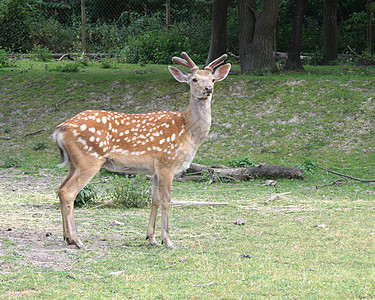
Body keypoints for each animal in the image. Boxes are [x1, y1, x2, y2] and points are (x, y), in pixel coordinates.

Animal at [51, 52, 231, 248]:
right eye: (194, 79)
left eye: (213, 79)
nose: (208, 89)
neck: (188, 131)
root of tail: (60, 129)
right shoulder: (167, 163)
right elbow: (167, 201)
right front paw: (167, 240)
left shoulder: (155, 170)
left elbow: (155, 200)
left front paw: (151, 238)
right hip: (89, 159)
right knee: (69, 192)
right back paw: (77, 240)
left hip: (74, 162)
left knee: (60, 189)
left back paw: (67, 237)